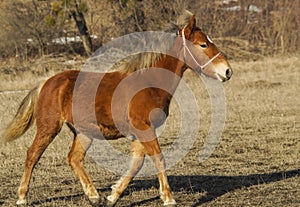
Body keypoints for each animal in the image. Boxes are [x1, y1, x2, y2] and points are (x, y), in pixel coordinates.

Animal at [1, 11, 232, 207]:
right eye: (203, 44)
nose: (227, 71)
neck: (150, 83)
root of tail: (47, 83)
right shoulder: (143, 128)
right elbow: (158, 159)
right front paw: (168, 199)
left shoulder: (142, 132)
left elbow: (136, 164)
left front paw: (112, 197)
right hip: (49, 127)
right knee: (32, 155)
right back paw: (22, 197)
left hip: (84, 132)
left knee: (74, 158)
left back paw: (94, 196)